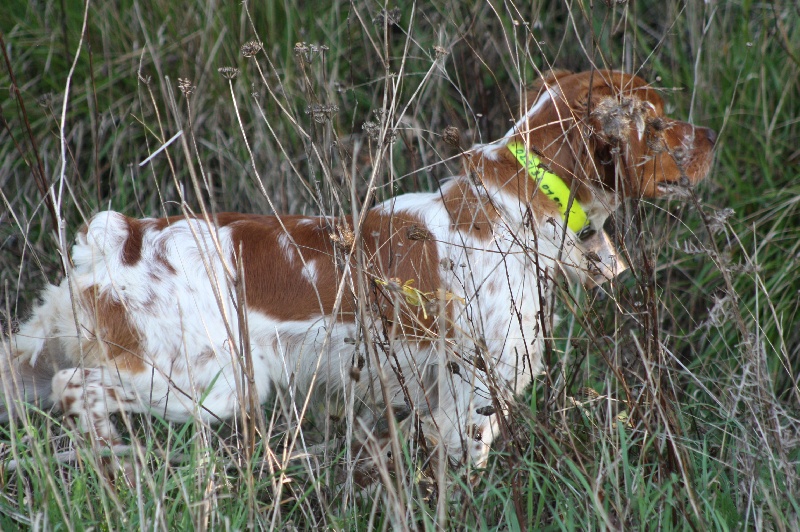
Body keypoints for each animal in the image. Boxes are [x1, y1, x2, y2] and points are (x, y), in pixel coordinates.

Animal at [0, 70, 712, 470]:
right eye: (656, 121)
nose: (710, 138)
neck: (523, 200)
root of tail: (115, 240)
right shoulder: (475, 392)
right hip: (211, 386)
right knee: (76, 386)